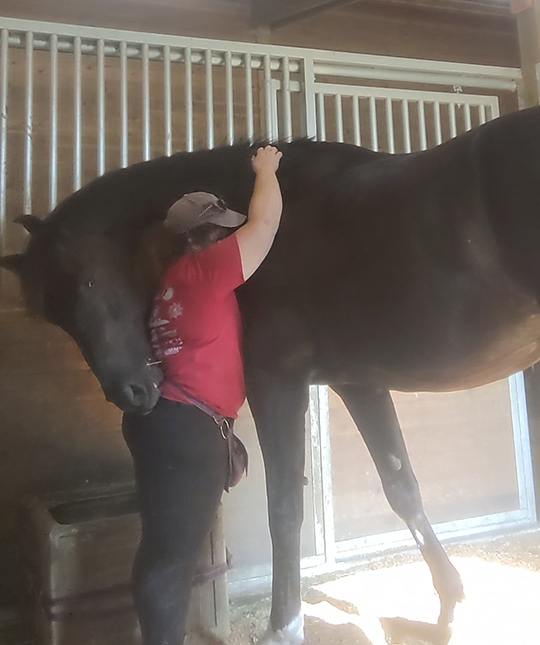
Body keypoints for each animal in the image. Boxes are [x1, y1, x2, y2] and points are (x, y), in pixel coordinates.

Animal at [3, 105, 540, 645]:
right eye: (53, 315)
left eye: (88, 283)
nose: (131, 392)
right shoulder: (359, 383)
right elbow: (402, 487)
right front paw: (449, 606)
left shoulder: (277, 383)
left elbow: (284, 509)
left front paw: (284, 626)